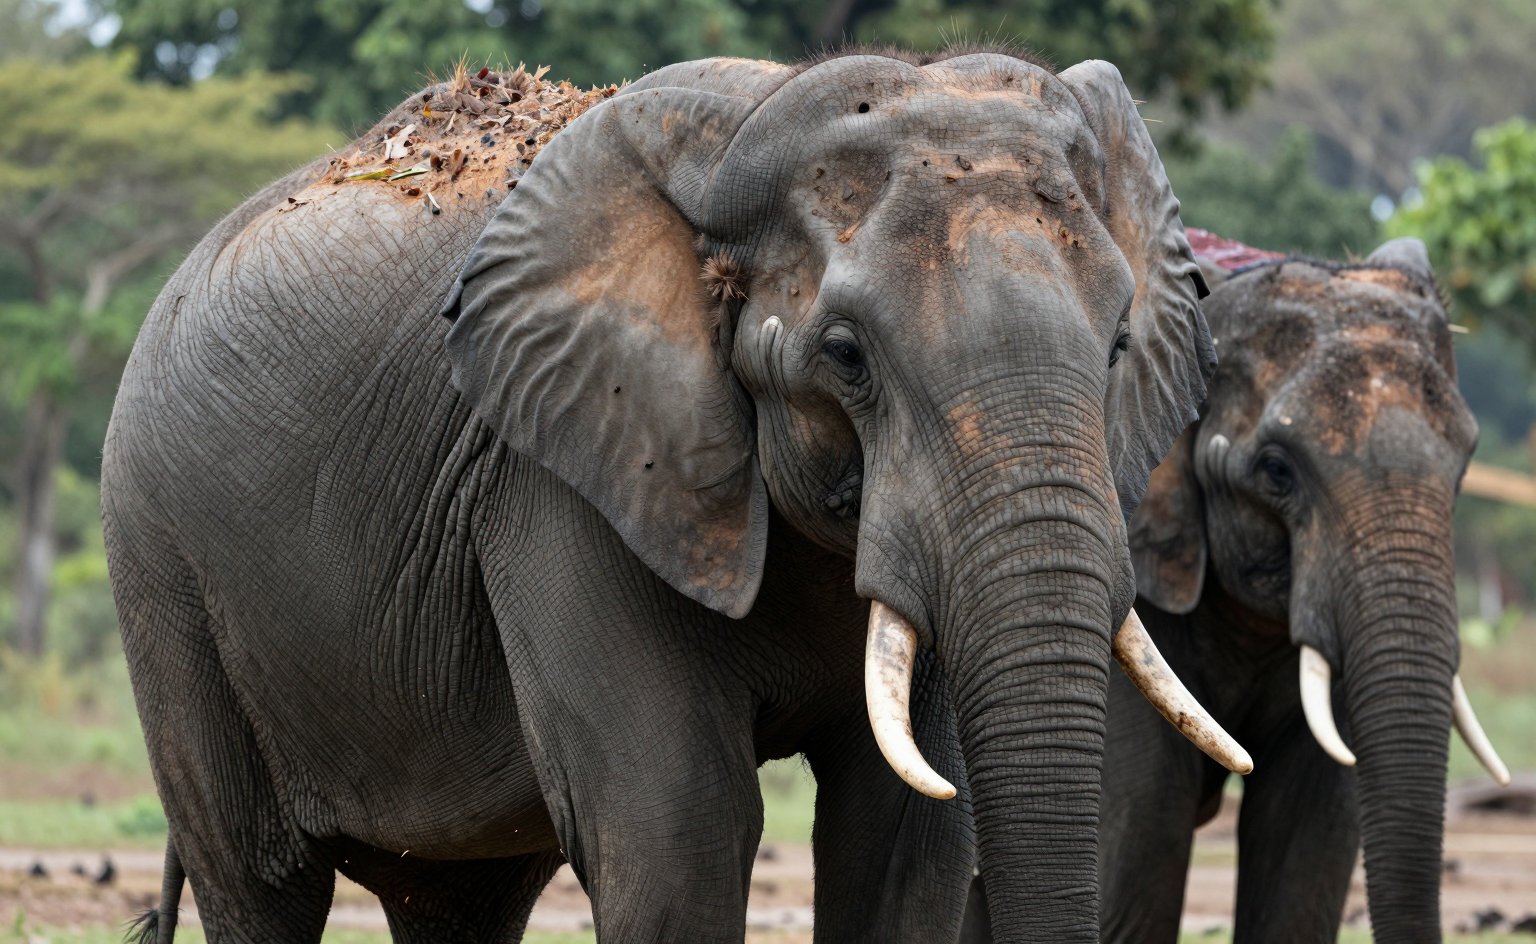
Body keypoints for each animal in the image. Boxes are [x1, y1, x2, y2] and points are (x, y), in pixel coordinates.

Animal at [102, 49, 1238, 943]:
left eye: (1119, 345)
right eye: (845, 355)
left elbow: (904, 838)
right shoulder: (558, 479)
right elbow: (676, 829)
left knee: (460, 898)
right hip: (165, 569)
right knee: (263, 881)